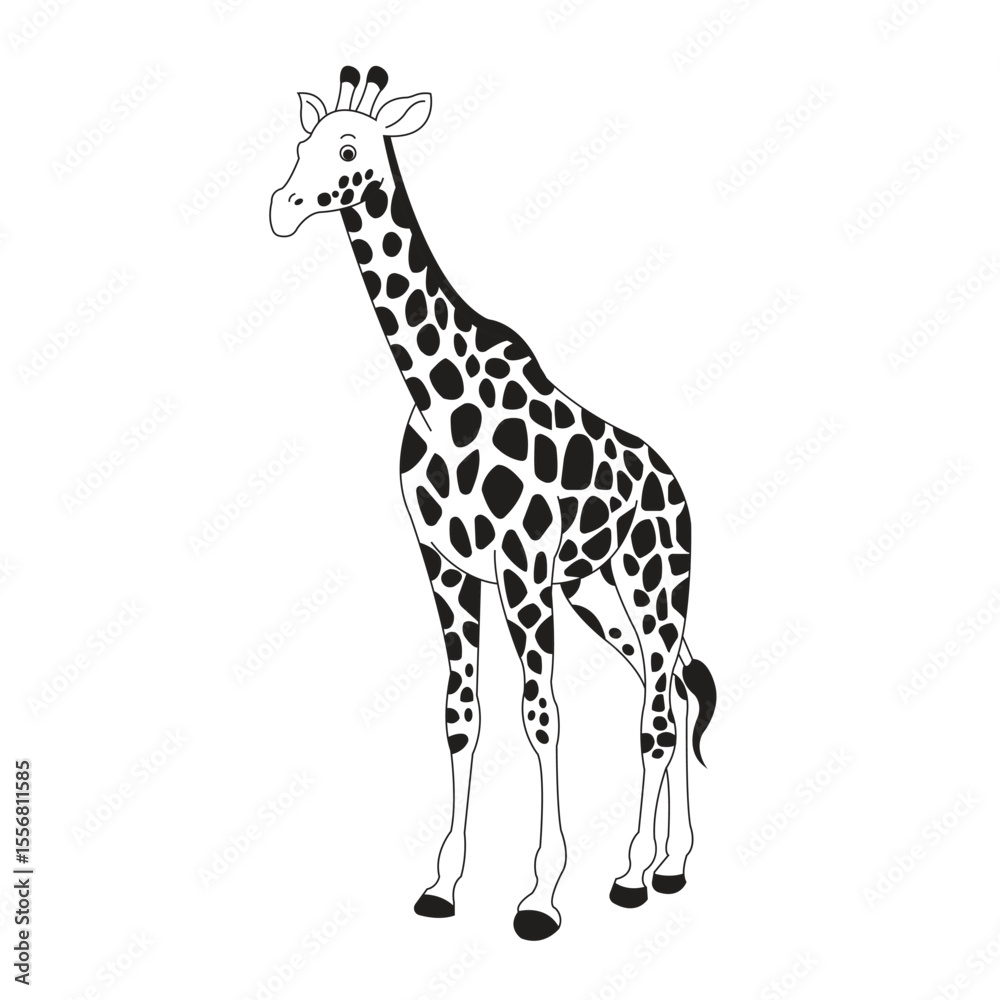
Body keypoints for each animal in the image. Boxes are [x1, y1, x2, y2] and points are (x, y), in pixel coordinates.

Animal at [269, 66, 717, 941]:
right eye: (303, 142)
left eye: (349, 148)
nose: (283, 205)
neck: (436, 391)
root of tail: (677, 486)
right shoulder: (447, 566)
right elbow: (461, 713)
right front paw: (443, 885)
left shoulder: (523, 572)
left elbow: (540, 716)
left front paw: (540, 897)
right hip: (593, 589)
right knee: (670, 692)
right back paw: (661, 865)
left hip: (655, 579)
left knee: (659, 707)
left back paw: (635, 876)